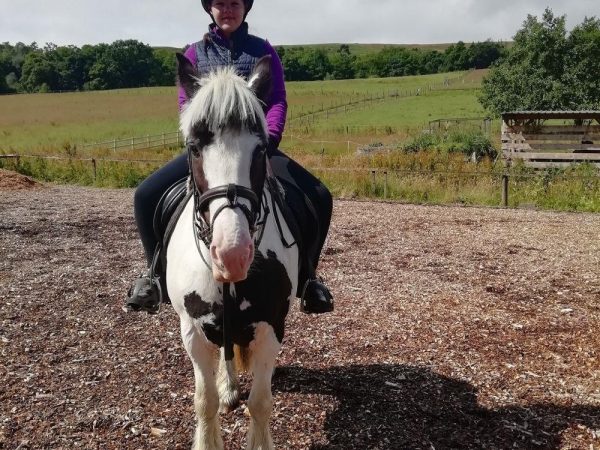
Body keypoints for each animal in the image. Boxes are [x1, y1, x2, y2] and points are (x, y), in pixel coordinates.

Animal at [166, 53, 299, 450]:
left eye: (261, 149)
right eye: (194, 147)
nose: (232, 255)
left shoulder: (271, 327)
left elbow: (260, 404)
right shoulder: (193, 331)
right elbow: (204, 401)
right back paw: (228, 388)